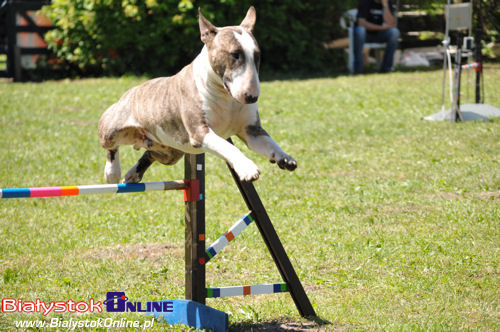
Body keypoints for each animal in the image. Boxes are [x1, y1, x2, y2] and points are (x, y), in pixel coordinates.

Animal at [97, 7, 296, 184]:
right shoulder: (200, 132)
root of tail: (130, 92)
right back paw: (112, 173)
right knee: (110, 147)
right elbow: (228, 148)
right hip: (111, 129)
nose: (251, 97)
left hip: (170, 152)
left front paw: (284, 158)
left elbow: (269, 143)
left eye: (257, 55)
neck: (226, 97)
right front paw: (247, 168)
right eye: (235, 54)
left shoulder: (251, 131)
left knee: (150, 154)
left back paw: (133, 174)